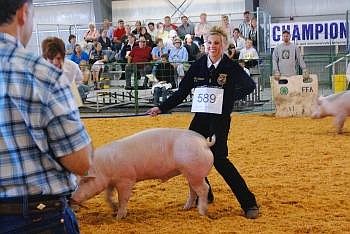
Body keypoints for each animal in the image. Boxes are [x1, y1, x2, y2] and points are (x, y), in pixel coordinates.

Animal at [71, 128, 213, 218]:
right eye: (76, 182)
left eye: (85, 181)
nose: (71, 198)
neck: (104, 168)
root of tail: (205, 142)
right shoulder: (111, 182)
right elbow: (108, 196)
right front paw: (114, 209)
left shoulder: (126, 179)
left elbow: (123, 198)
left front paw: (119, 217)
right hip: (190, 173)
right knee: (193, 189)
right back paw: (185, 208)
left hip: (195, 173)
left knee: (204, 189)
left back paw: (202, 212)